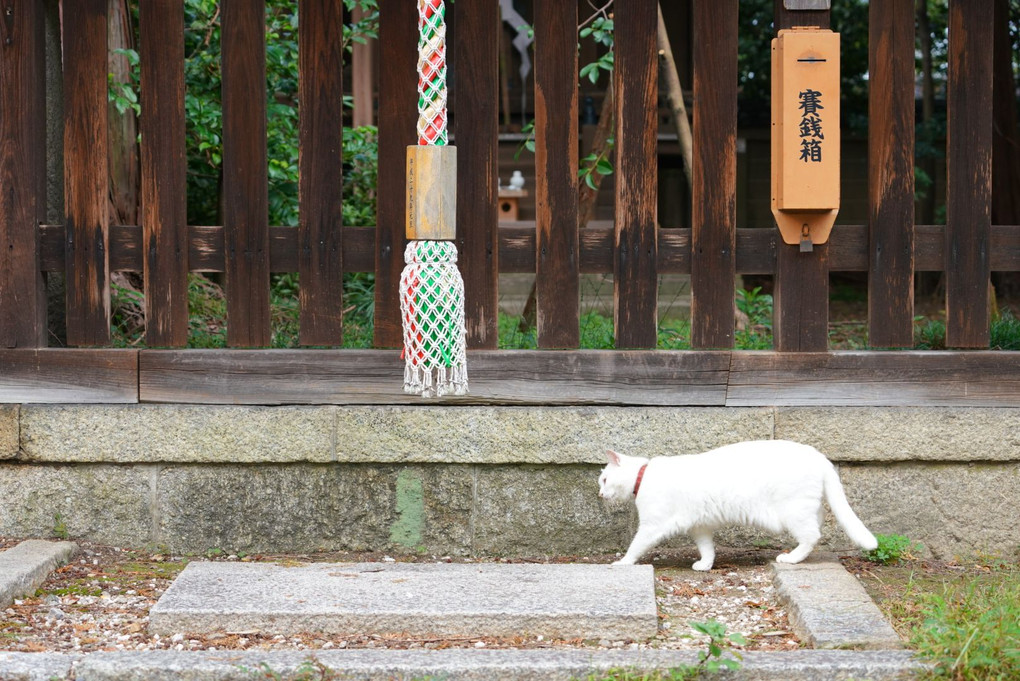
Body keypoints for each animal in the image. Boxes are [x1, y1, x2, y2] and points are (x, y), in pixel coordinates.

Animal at [595, 442, 877, 570]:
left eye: (604, 479)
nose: (599, 493)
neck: (643, 476)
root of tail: (820, 456)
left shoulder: (652, 526)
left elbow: (635, 546)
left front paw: (623, 562)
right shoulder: (700, 527)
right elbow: (707, 549)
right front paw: (705, 565)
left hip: (793, 513)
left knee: (812, 536)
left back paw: (791, 558)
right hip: (807, 509)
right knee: (817, 527)